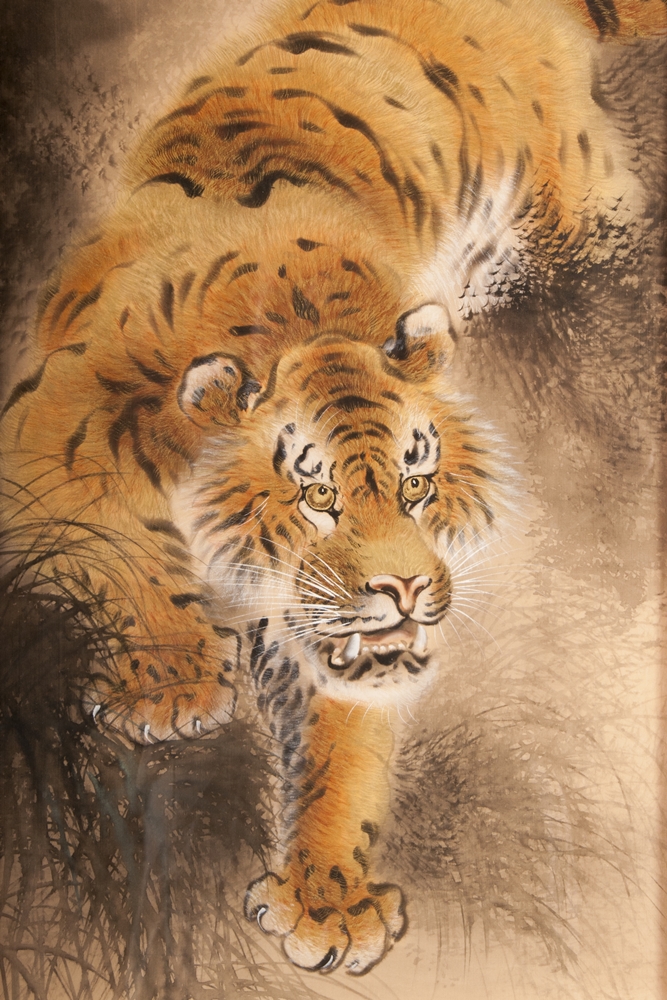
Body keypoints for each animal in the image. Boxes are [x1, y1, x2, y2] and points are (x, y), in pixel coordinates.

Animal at [1, 0, 664, 978]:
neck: (298, 324)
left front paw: (326, 902)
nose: (408, 588)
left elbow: (340, 741)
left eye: (416, 482)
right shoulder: (48, 427)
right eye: (317, 498)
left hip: (585, 214)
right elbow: (120, 547)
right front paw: (171, 681)